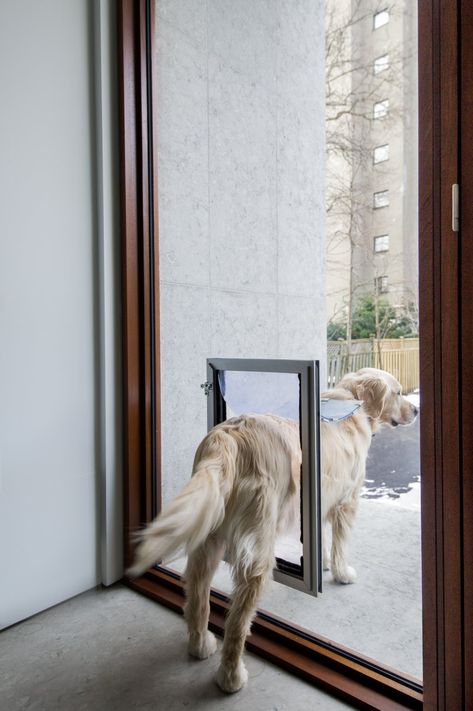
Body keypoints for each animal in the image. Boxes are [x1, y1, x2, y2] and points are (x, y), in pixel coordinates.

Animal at [128, 370, 416, 692]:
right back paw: (231, 677)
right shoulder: (347, 500)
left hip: (208, 540)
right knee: (238, 620)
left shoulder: (318, 498)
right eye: (398, 392)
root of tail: (229, 435)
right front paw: (343, 573)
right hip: (258, 546)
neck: (352, 405)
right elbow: (341, 543)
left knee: (198, 595)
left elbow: (320, 537)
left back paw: (200, 644)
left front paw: (323, 563)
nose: (417, 410)